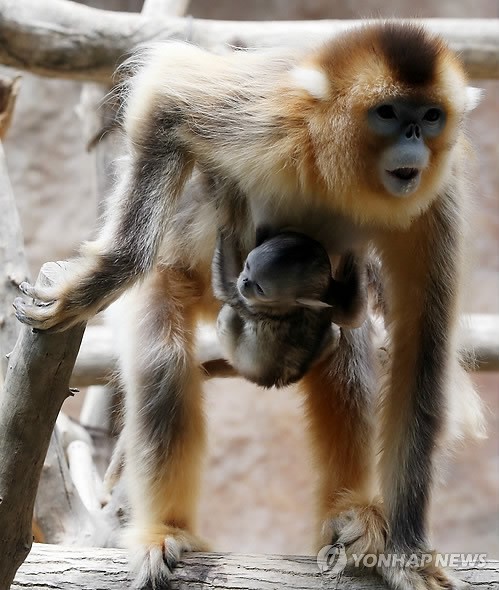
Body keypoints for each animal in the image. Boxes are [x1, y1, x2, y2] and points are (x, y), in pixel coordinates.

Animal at [212, 230, 368, 388]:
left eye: (260, 289)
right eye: (248, 266)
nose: (245, 281)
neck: (292, 306)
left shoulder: (247, 303)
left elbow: (226, 284)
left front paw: (223, 231)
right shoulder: (329, 299)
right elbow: (355, 317)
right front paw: (358, 255)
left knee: (229, 313)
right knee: (334, 333)